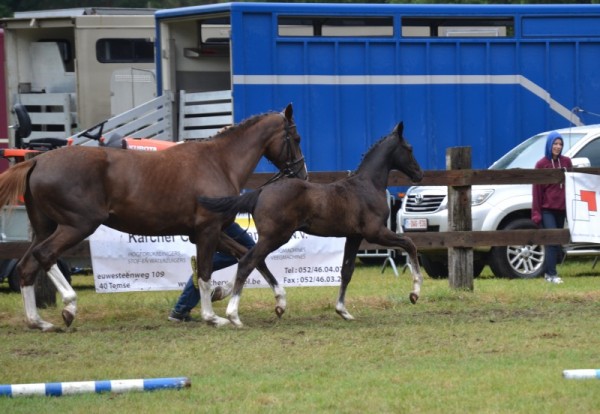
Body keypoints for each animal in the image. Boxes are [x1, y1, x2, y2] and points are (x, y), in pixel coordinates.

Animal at [0, 103, 308, 330]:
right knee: (45, 255)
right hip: (78, 225)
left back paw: (38, 322)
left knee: (26, 266)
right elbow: (206, 273)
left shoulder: (210, 231)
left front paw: (278, 301)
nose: (302, 174)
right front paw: (213, 317)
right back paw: (69, 306)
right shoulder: (208, 231)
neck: (219, 163)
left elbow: (247, 256)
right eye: (296, 138)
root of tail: (37, 161)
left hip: (46, 227)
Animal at [197, 122, 422, 326]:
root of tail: (260, 192)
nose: (419, 174)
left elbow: (346, 271)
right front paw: (415, 293)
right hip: (275, 237)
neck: (367, 185)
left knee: (248, 259)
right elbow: (410, 243)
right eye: (409, 148)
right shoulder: (375, 232)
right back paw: (233, 315)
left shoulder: (354, 236)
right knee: (247, 262)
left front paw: (343, 311)